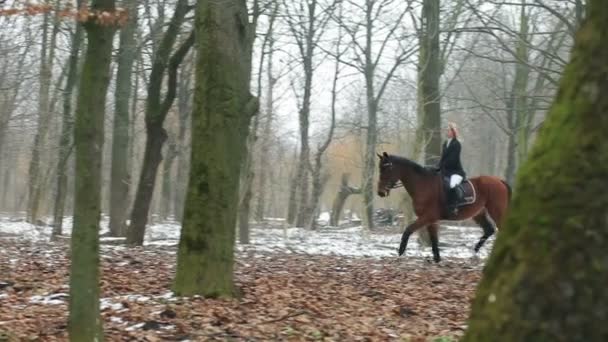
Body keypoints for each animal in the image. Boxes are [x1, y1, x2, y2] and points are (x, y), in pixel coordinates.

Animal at [378, 152, 510, 262]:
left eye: (387, 169)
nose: (380, 192)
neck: (423, 185)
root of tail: (499, 181)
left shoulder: (427, 217)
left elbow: (408, 230)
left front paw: (400, 252)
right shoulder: (431, 220)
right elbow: (434, 239)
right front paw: (437, 259)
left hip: (496, 211)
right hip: (478, 213)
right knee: (489, 230)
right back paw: (474, 252)